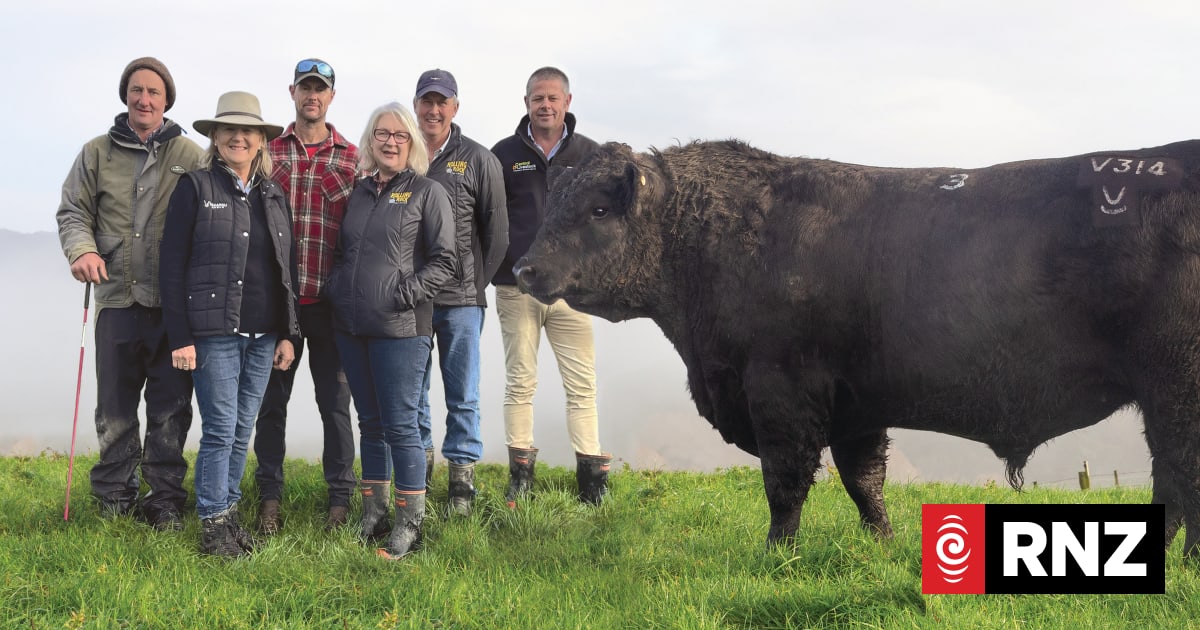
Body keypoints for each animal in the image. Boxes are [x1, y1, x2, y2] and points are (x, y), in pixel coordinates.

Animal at [513, 139, 1200, 556]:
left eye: (599, 209)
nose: (523, 269)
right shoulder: (855, 405)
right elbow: (864, 482)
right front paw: (884, 548)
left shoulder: (781, 390)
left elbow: (786, 481)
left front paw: (777, 556)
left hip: (1175, 387)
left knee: (1180, 471)